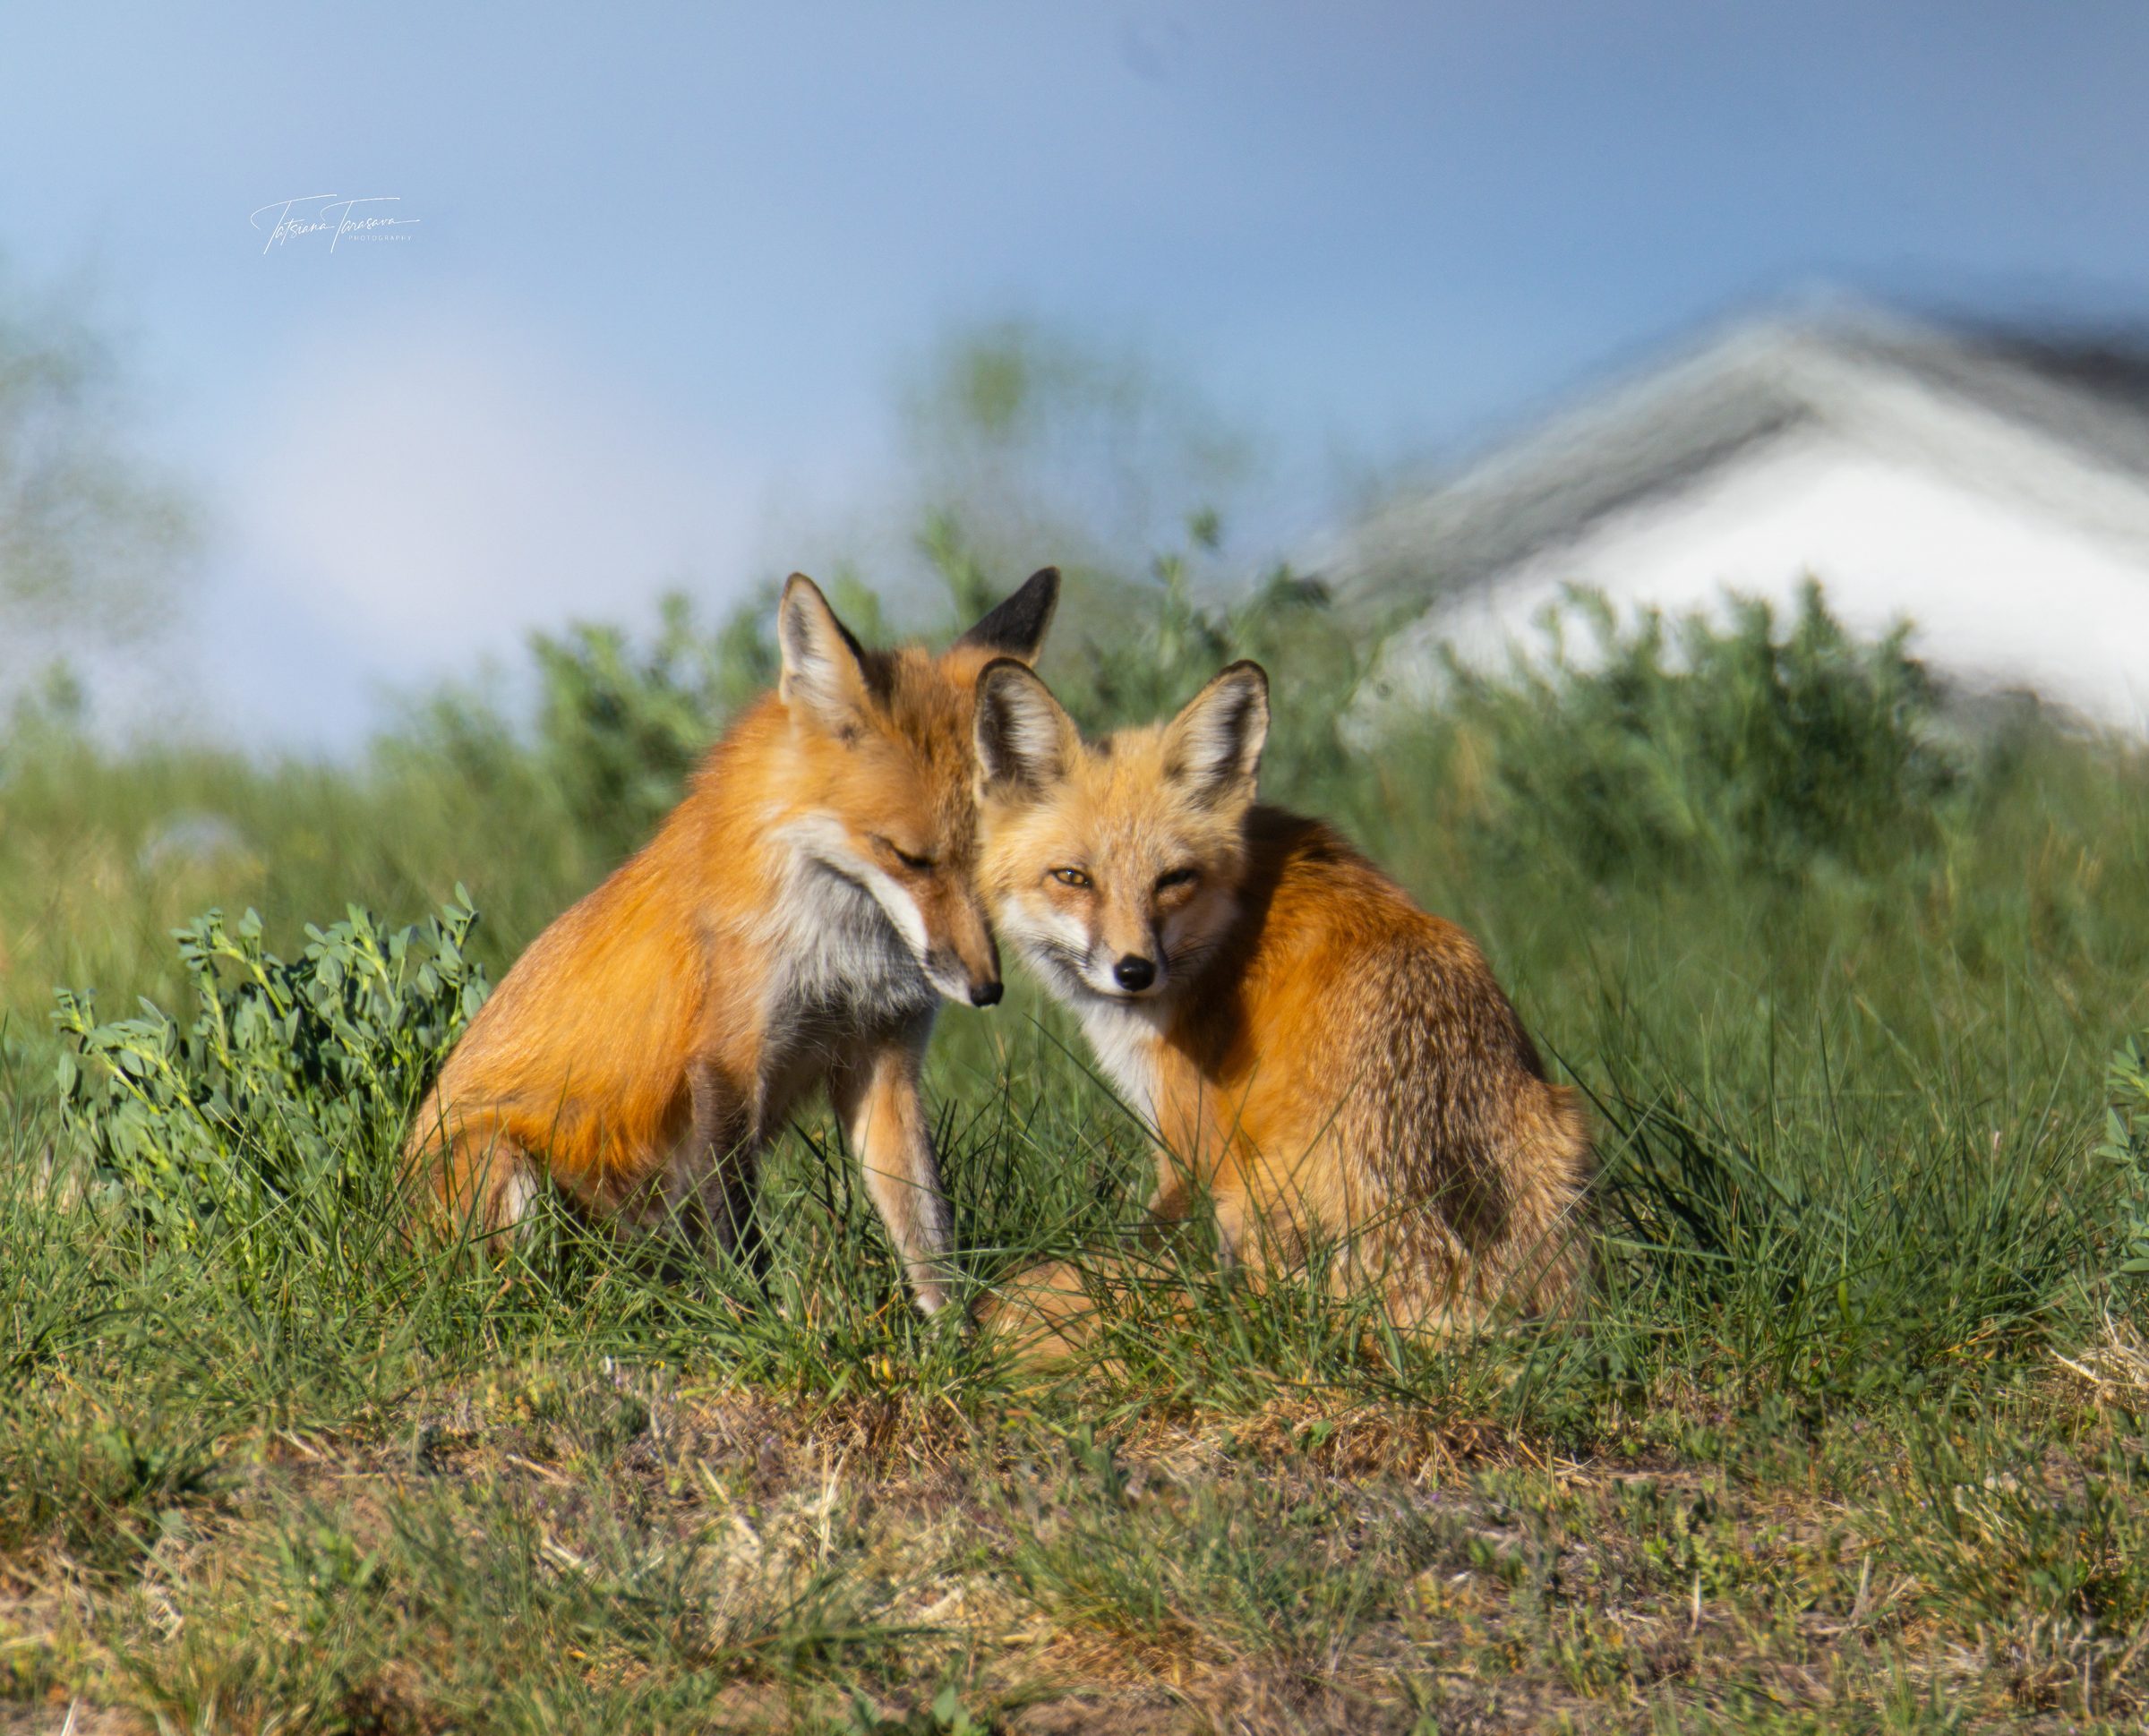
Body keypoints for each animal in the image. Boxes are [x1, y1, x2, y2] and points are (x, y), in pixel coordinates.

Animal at [402, 567, 1060, 1319]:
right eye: (907, 857)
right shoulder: (728, 1060)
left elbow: (927, 1232)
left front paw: (954, 1336)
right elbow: (740, 1236)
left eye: (985, 866)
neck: (845, 952)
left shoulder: (883, 1058)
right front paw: (765, 1327)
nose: (986, 988)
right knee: (518, 1298)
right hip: (503, 1166)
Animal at [969, 657, 1593, 1352]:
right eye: (1073, 878)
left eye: (1174, 879)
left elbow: (1154, 1239)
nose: (1134, 971)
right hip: (1567, 1132)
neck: (1231, 923)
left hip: (1251, 1198)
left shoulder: (1190, 1143)